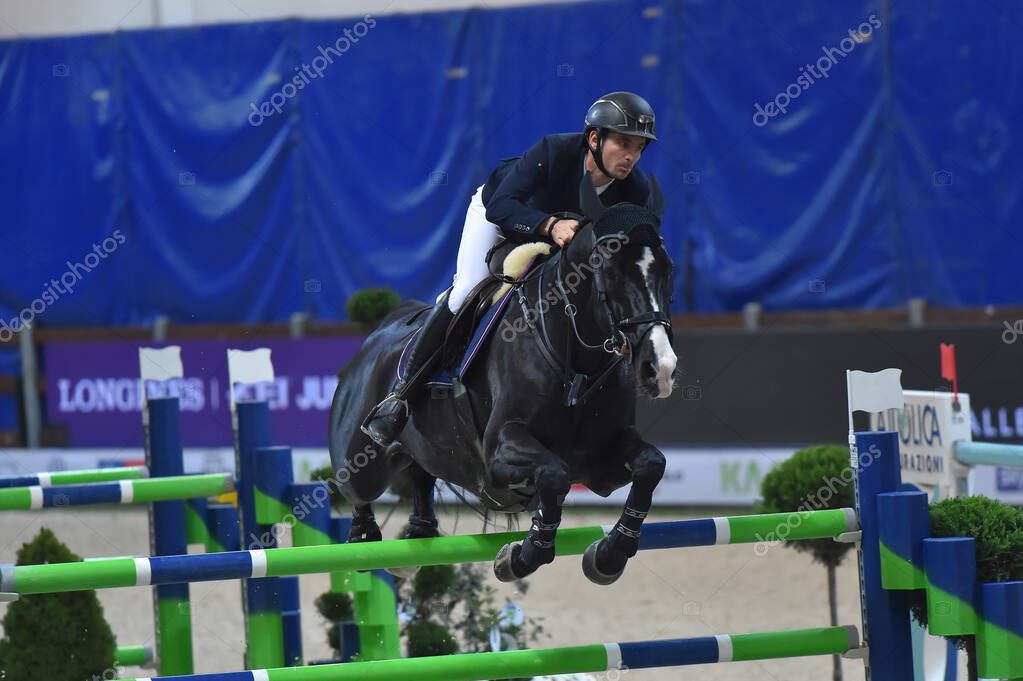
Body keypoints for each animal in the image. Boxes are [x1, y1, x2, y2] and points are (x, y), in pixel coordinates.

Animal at [328, 176, 678, 585]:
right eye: (610, 271)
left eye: (668, 269)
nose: (661, 369)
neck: (575, 361)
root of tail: (376, 335)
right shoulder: (499, 448)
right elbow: (554, 474)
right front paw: (519, 557)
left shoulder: (599, 464)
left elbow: (651, 465)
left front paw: (608, 555)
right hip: (361, 459)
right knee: (357, 490)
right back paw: (364, 536)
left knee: (421, 476)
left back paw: (417, 533)